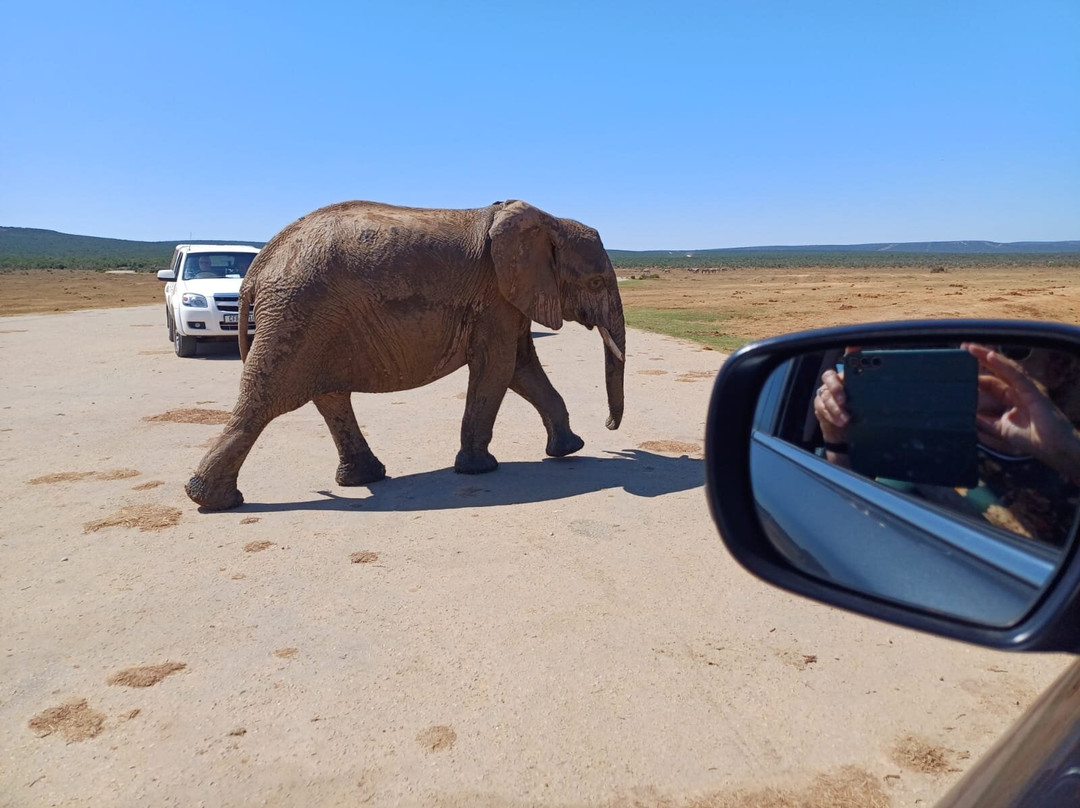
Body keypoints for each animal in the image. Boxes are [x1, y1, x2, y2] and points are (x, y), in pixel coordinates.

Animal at [183, 197, 626, 507]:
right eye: (597, 282)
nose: (609, 429)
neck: (549, 221)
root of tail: (257, 268)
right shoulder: (495, 297)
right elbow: (497, 368)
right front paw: (480, 470)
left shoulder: (507, 299)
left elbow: (520, 368)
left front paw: (569, 450)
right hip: (297, 312)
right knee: (264, 401)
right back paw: (214, 501)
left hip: (310, 319)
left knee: (329, 396)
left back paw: (364, 479)